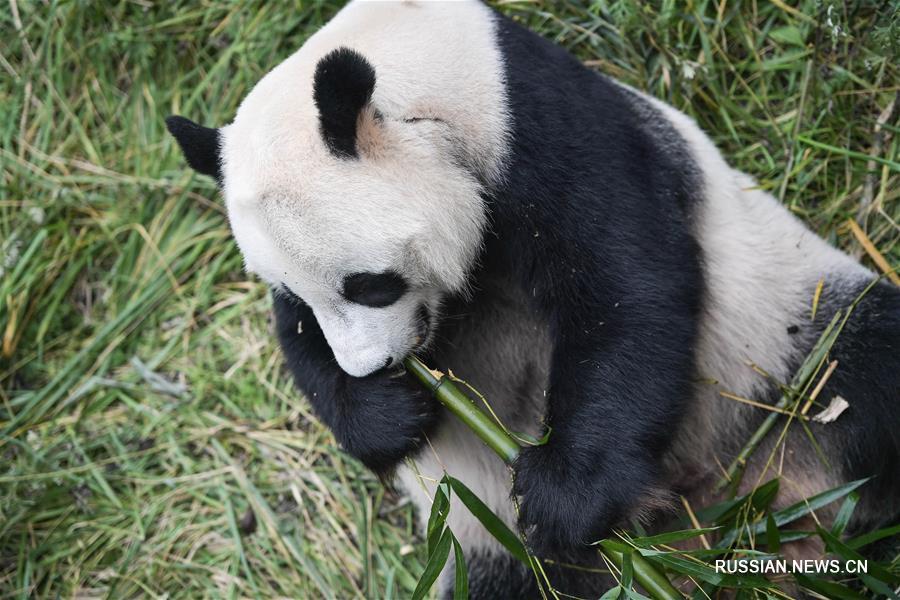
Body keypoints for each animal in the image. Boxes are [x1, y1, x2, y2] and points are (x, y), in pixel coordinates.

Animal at [165, 1, 896, 596]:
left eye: (370, 284)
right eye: (298, 294)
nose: (375, 367)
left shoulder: (541, 125)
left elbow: (623, 277)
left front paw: (565, 493)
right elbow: (302, 350)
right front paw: (390, 412)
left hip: (787, 340)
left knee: (866, 365)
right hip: (498, 547)